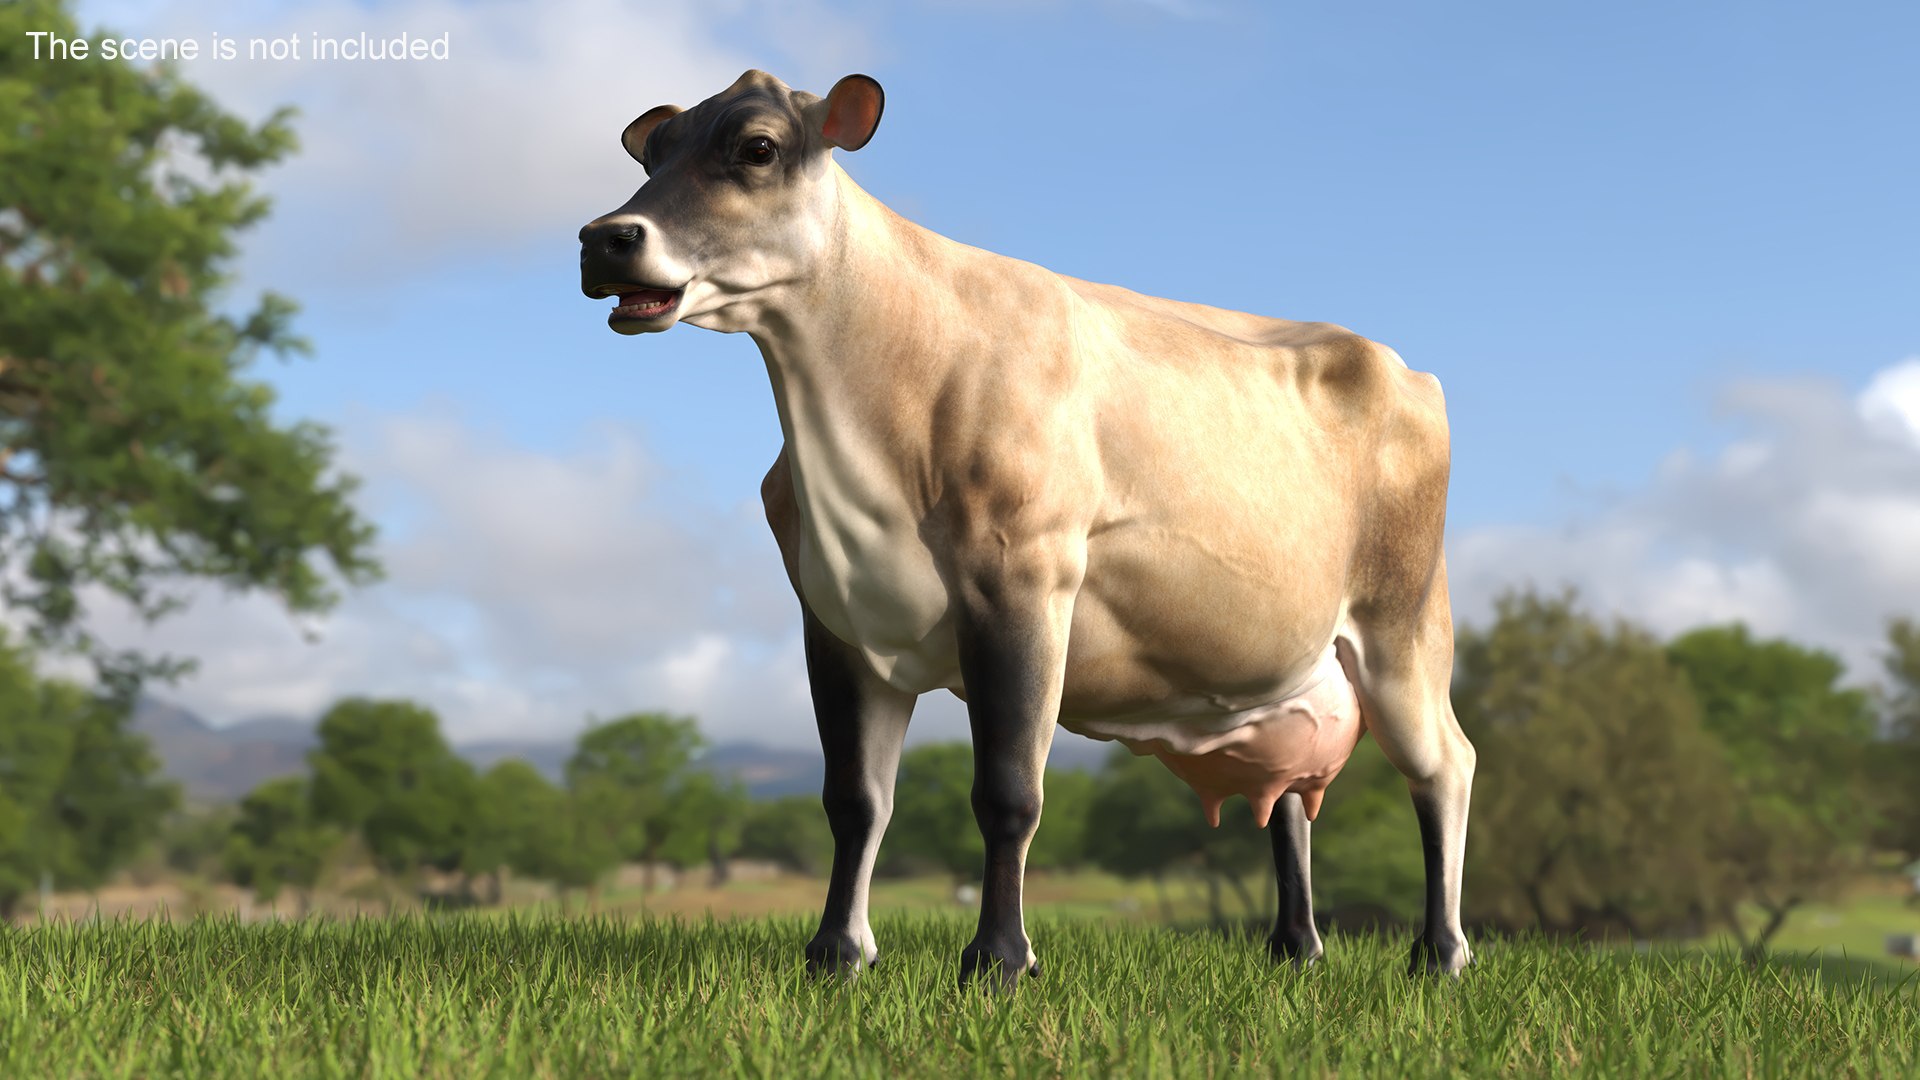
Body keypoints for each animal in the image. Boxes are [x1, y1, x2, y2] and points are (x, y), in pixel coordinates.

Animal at [579, 70, 1476, 989]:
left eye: (756, 147)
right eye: (653, 154)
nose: (604, 239)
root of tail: (1397, 361)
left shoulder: (1021, 580)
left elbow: (1008, 791)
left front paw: (999, 959)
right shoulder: (834, 615)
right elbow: (855, 802)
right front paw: (837, 953)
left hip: (1404, 624)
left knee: (1446, 765)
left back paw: (1440, 954)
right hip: (1286, 667)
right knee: (1293, 794)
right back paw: (1294, 949)